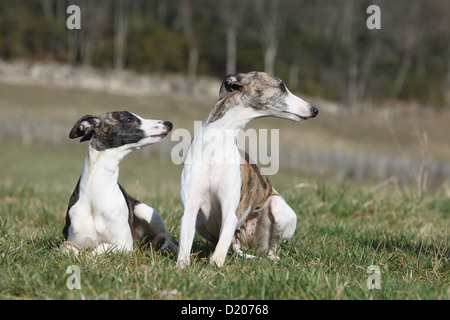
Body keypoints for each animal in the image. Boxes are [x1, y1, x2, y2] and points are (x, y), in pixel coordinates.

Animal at [62, 110, 178, 255]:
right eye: (129, 119)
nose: (169, 123)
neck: (97, 193)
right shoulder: (74, 240)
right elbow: (66, 247)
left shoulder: (125, 244)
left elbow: (99, 247)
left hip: (147, 212)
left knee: (166, 237)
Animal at [178, 72, 318, 268]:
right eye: (281, 86)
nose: (314, 110)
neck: (215, 147)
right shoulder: (190, 207)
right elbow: (185, 245)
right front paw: (181, 268)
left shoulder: (231, 210)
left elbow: (219, 253)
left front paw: (214, 267)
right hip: (201, 223)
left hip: (277, 209)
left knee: (271, 248)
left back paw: (274, 259)